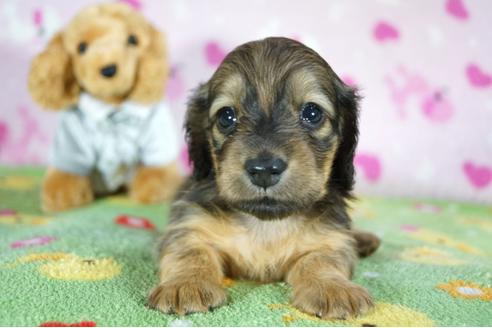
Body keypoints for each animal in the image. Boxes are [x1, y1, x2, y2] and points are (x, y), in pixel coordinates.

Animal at [147, 37, 380, 320]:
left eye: (312, 113)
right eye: (226, 116)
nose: (265, 169)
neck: (266, 223)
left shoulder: (329, 238)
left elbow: (321, 259)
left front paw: (333, 288)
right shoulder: (190, 226)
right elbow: (191, 253)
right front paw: (187, 284)